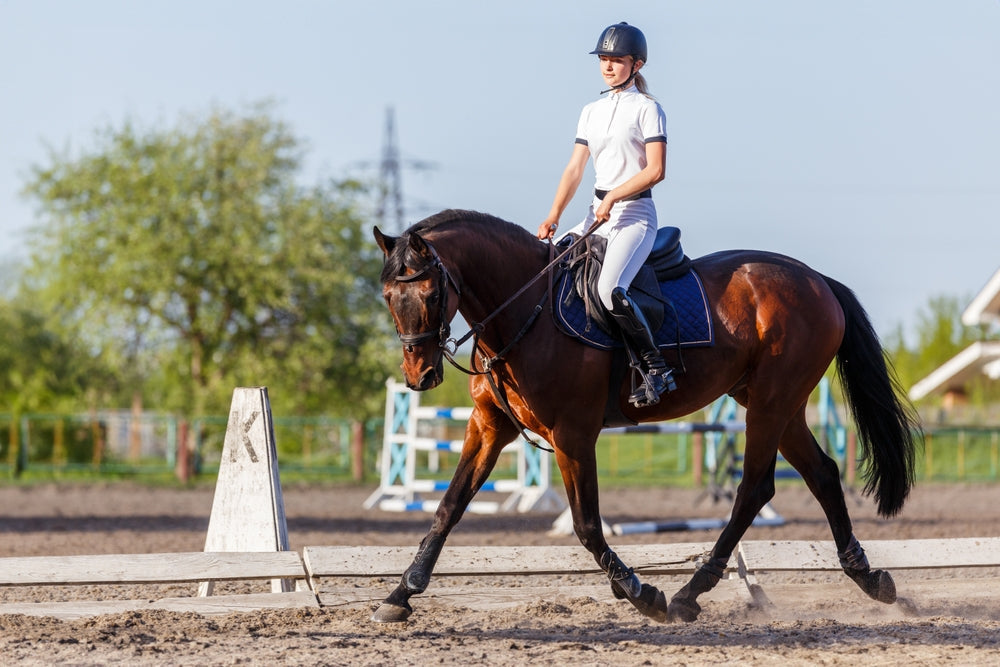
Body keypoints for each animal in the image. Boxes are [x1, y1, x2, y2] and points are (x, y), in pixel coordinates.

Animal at [372, 209, 920, 624]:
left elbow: (587, 525)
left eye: (432, 294)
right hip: (773, 404)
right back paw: (871, 579)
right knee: (821, 475)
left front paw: (641, 593)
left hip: (771, 402)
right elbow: (449, 507)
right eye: (388, 296)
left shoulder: (573, 435)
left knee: (753, 490)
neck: (524, 310)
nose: (419, 376)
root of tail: (816, 279)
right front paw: (401, 594)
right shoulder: (488, 428)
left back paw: (688, 593)